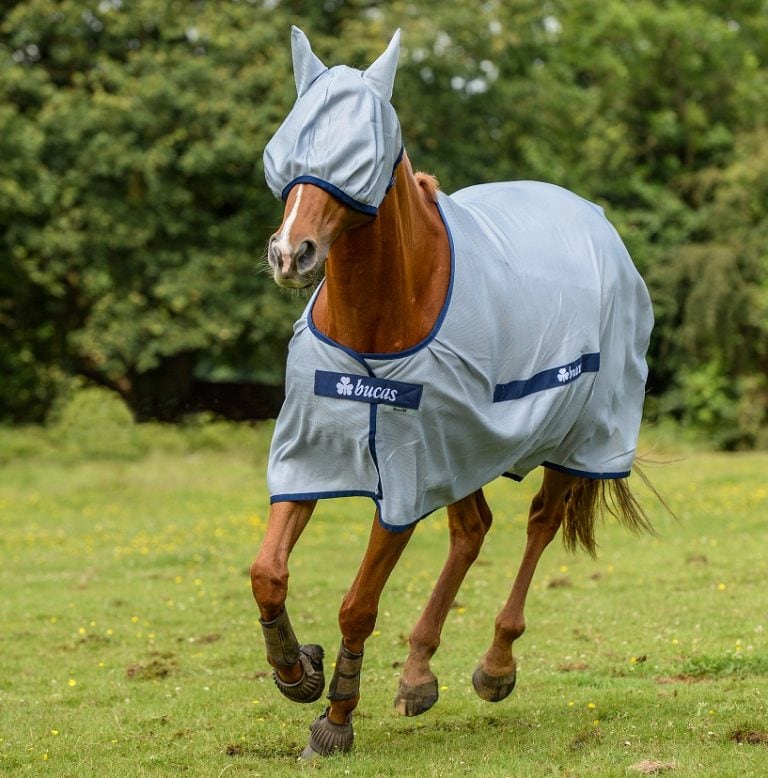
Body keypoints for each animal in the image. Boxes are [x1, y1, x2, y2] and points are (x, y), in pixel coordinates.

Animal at [250, 27, 656, 756]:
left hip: (575, 439)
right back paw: (417, 674)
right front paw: (297, 670)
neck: (378, 320)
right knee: (472, 530)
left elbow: (358, 604)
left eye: (367, 151)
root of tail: (597, 222)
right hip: (462, 449)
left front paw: (335, 718)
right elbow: (268, 573)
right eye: (288, 138)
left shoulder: (405, 479)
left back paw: (496, 665)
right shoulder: (312, 455)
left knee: (539, 523)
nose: (291, 255)